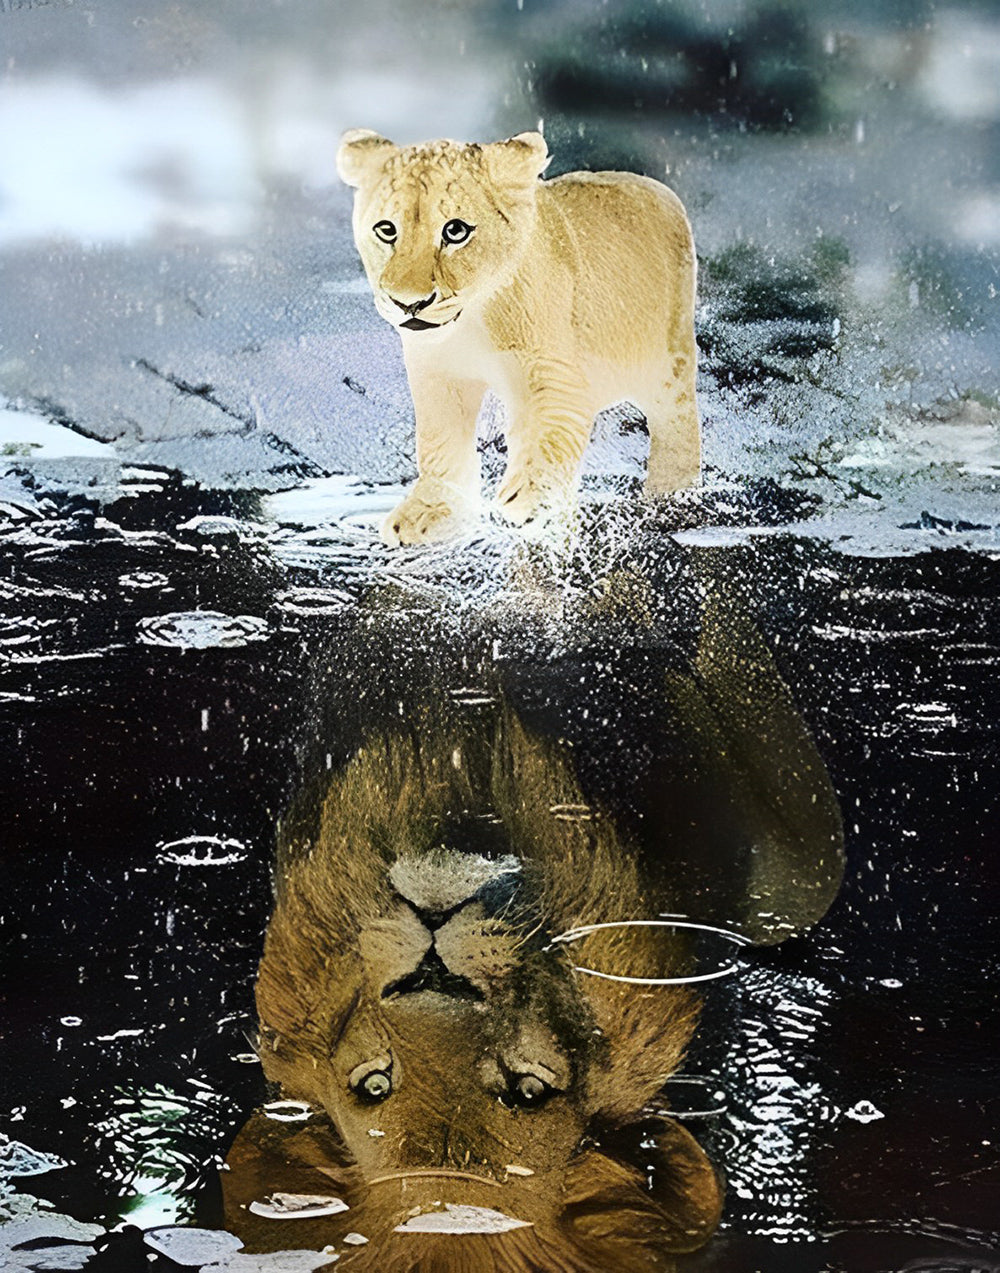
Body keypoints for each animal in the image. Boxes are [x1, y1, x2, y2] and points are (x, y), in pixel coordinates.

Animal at [336, 130, 701, 545]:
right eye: (386, 230)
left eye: (455, 231)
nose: (408, 303)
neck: (471, 321)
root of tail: (656, 186)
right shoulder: (437, 375)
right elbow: (439, 443)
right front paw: (433, 512)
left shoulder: (557, 373)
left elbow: (550, 434)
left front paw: (528, 500)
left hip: (668, 363)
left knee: (677, 424)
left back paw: (669, 493)